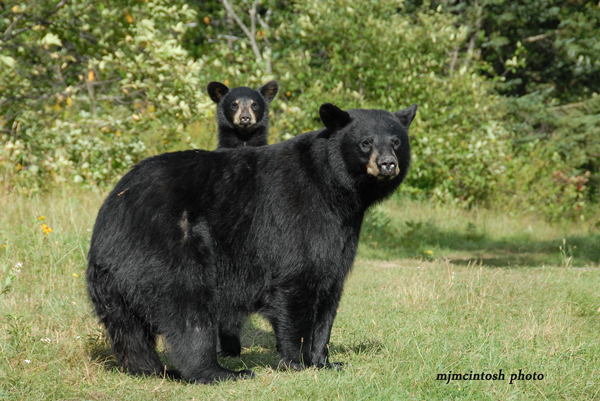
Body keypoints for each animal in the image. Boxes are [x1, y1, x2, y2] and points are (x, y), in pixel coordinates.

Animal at [86, 102, 418, 382]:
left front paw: (324, 361)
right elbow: (297, 283)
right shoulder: (299, 217)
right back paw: (220, 372)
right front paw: (297, 362)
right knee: (187, 309)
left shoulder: (341, 233)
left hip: (117, 280)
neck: (337, 193)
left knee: (130, 330)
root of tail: (112, 211)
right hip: (169, 246)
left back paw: (150, 369)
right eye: (365, 143)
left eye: (396, 142)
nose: (388, 164)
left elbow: (329, 291)